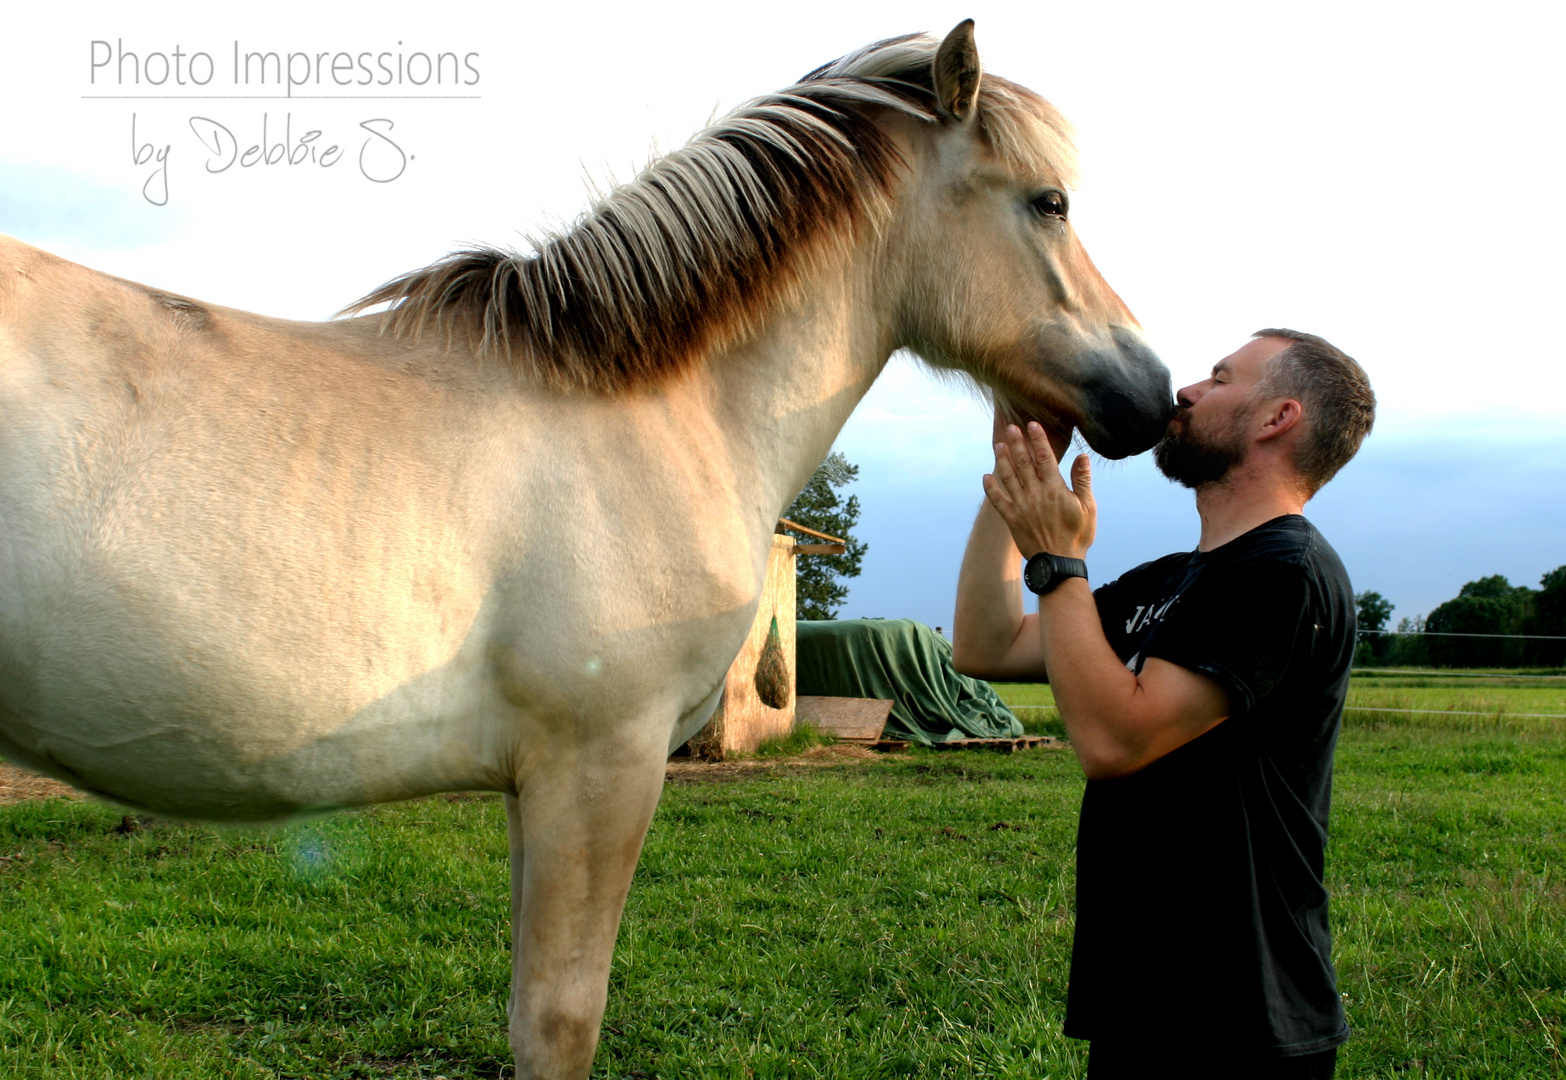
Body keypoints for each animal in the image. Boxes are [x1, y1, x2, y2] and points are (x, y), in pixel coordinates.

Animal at [0, 18, 1171, 1076]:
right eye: (1050, 202)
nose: (1150, 393)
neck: (648, 408)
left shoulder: (540, 785)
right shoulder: (600, 764)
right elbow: (560, 1023)